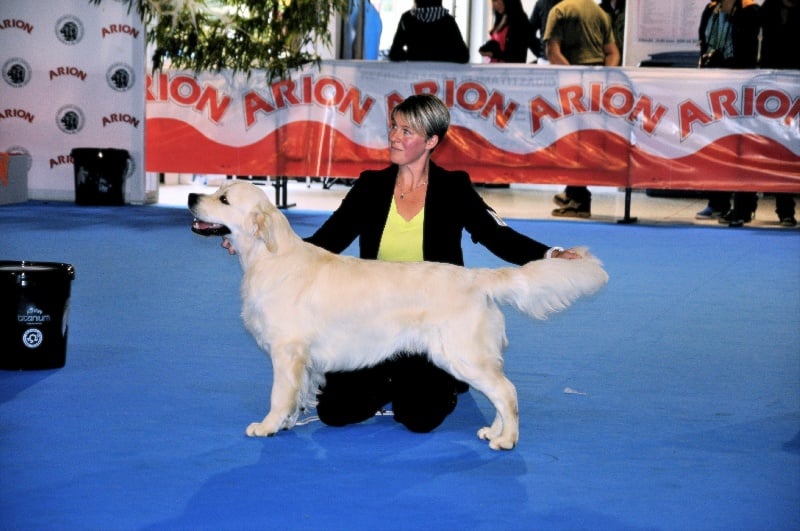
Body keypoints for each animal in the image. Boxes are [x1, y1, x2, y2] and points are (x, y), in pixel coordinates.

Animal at [189, 181, 608, 450]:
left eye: (223, 198)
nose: (192, 195)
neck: (269, 257)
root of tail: (477, 277)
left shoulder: (287, 351)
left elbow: (279, 394)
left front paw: (267, 426)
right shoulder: (302, 361)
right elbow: (296, 395)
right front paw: (288, 423)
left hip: (461, 355)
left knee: (507, 392)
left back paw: (506, 440)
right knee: (502, 394)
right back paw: (493, 432)